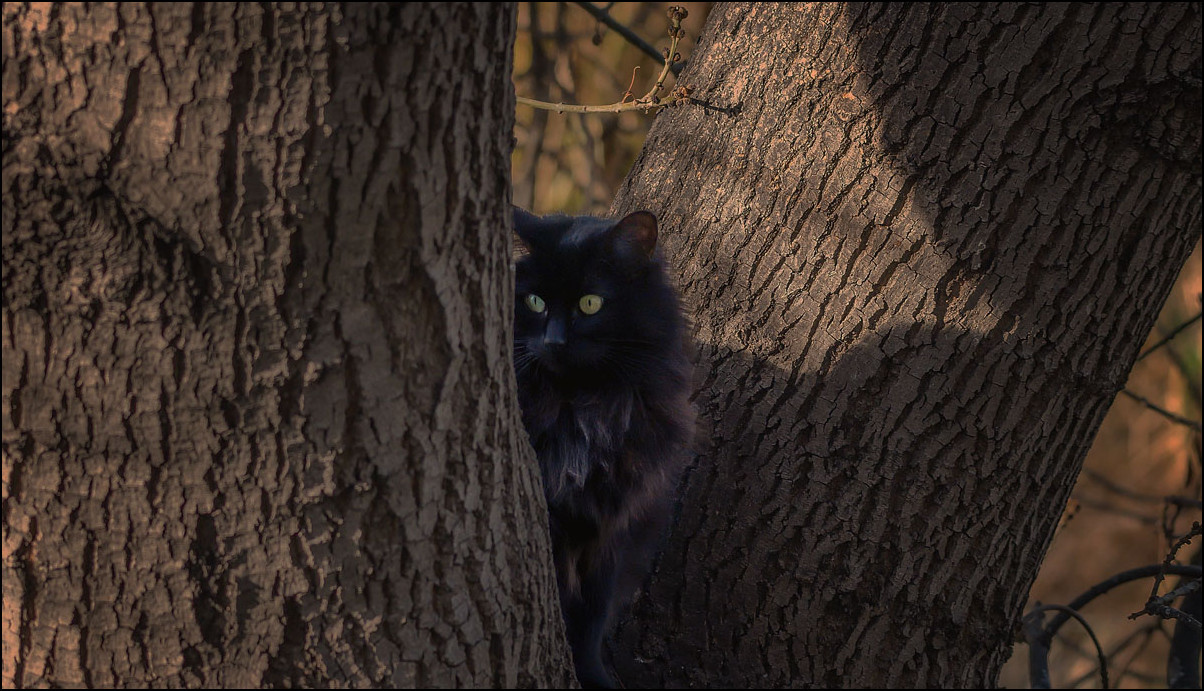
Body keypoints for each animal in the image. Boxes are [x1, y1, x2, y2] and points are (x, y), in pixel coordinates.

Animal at [510, 208, 698, 688]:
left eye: (590, 304)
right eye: (535, 302)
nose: (554, 341)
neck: (582, 413)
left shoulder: (613, 523)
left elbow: (592, 617)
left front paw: (592, 676)